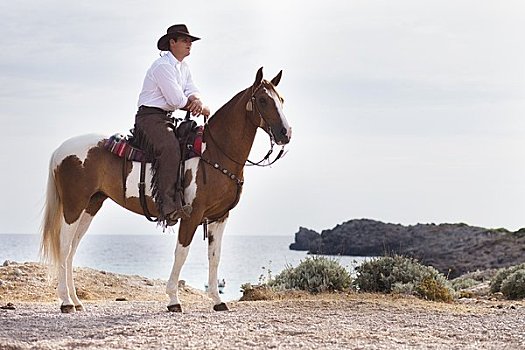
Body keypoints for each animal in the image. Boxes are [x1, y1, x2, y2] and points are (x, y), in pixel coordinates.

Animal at [42, 67, 290, 314]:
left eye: (281, 100)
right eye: (263, 100)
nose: (285, 133)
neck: (214, 151)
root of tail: (60, 150)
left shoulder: (219, 217)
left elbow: (214, 256)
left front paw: (217, 300)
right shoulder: (192, 215)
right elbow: (181, 252)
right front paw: (173, 299)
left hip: (91, 205)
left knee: (72, 250)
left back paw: (76, 301)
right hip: (73, 207)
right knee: (64, 247)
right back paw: (66, 302)